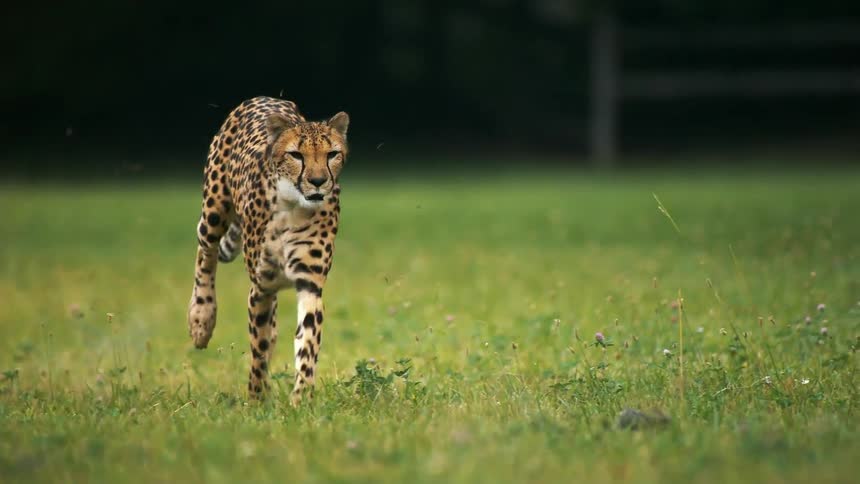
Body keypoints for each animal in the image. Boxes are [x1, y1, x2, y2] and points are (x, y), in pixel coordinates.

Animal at [186, 96, 349, 405]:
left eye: (332, 154)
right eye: (296, 155)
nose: (319, 181)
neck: (293, 204)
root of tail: (267, 98)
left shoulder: (309, 284)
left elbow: (306, 343)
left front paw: (301, 398)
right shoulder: (261, 287)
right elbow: (258, 347)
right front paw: (257, 398)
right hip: (213, 210)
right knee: (205, 252)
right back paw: (201, 318)